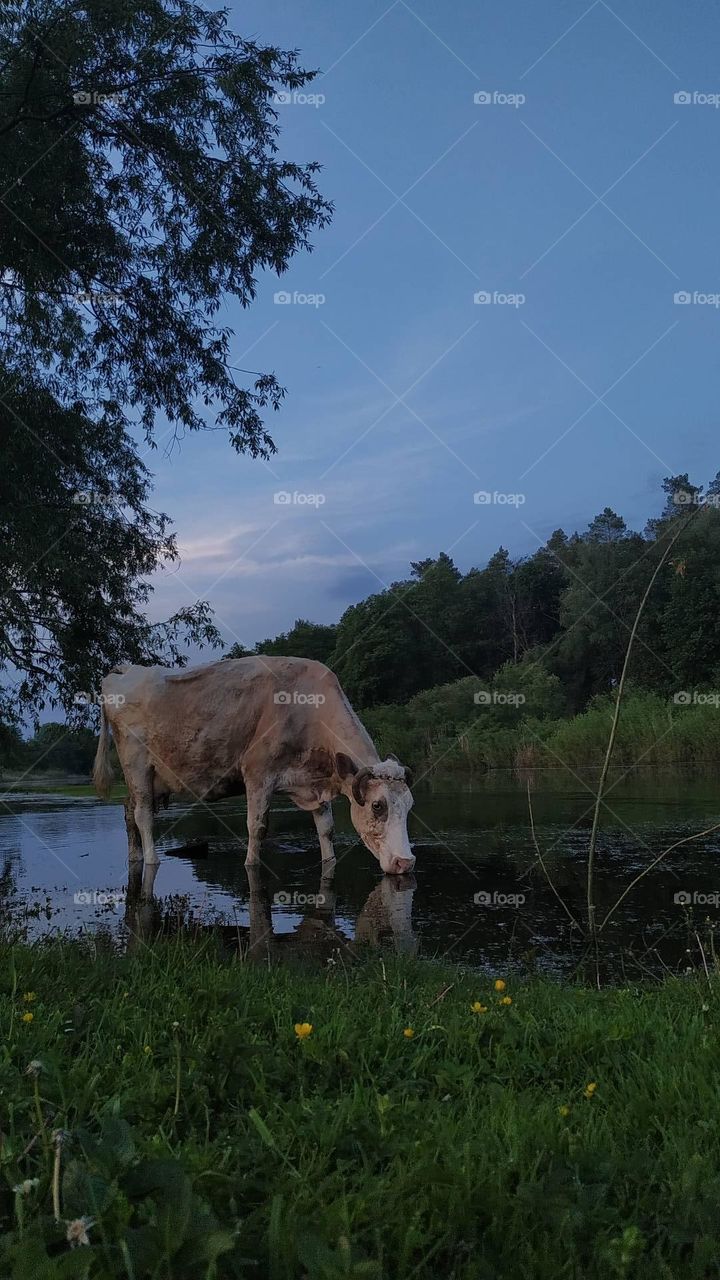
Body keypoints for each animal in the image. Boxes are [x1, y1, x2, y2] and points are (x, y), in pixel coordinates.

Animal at [92, 656, 415, 876]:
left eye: (410, 805)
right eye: (377, 805)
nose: (406, 862)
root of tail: (127, 670)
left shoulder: (314, 780)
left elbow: (326, 829)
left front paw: (328, 860)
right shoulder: (258, 774)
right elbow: (256, 827)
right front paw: (250, 864)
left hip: (150, 779)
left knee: (128, 811)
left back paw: (134, 858)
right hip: (136, 764)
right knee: (143, 815)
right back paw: (150, 860)